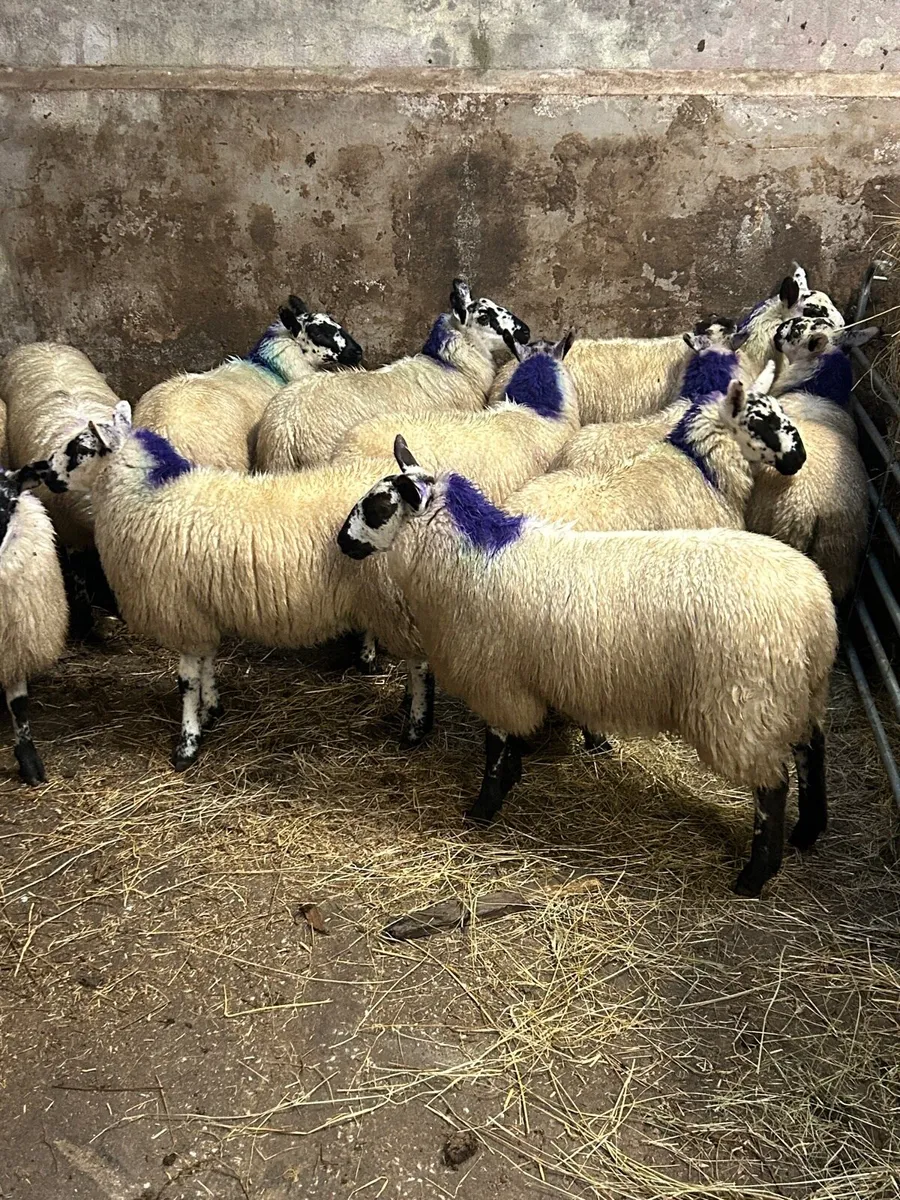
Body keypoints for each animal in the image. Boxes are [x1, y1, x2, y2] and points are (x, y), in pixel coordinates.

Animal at [27, 403, 435, 767]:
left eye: (80, 448)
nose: (44, 471)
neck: (144, 497)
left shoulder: (181, 611)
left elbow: (185, 681)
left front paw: (187, 745)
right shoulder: (200, 609)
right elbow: (207, 662)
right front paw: (211, 710)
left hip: (396, 603)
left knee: (419, 664)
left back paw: (415, 726)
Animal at [337, 437, 837, 897]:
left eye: (379, 507)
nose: (341, 541)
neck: (471, 559)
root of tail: (815, 607)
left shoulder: (495, 678)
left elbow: (495, 747)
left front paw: (483, 808)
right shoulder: (517, 679)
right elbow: (512, 743)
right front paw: (515, 776)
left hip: (742, 707)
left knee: (773, 788)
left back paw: (754, 877)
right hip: (794, 695)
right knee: (812, 751)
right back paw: (808, 831)